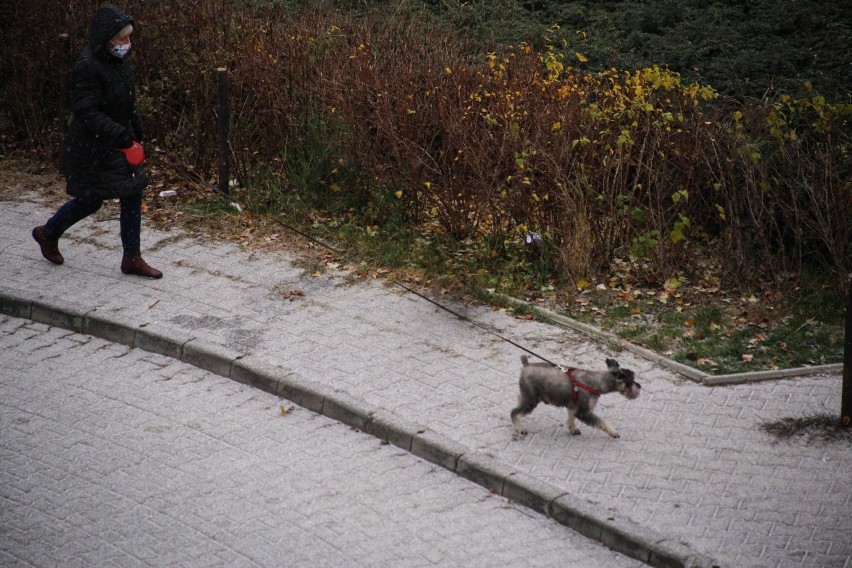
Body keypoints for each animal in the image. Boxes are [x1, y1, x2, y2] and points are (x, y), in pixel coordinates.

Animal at [512, 356, 640, 440]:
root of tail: (526, 365)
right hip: (531, 400)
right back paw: (519, 428)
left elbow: (571, 418)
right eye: (630, 381)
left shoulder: (573, 406)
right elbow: (602, 421)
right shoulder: (584, 411)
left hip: (528, 396)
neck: (597, 382)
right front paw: (613, 432)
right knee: (514, 412)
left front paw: (573, 428)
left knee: (518, 400)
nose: (639, 386)